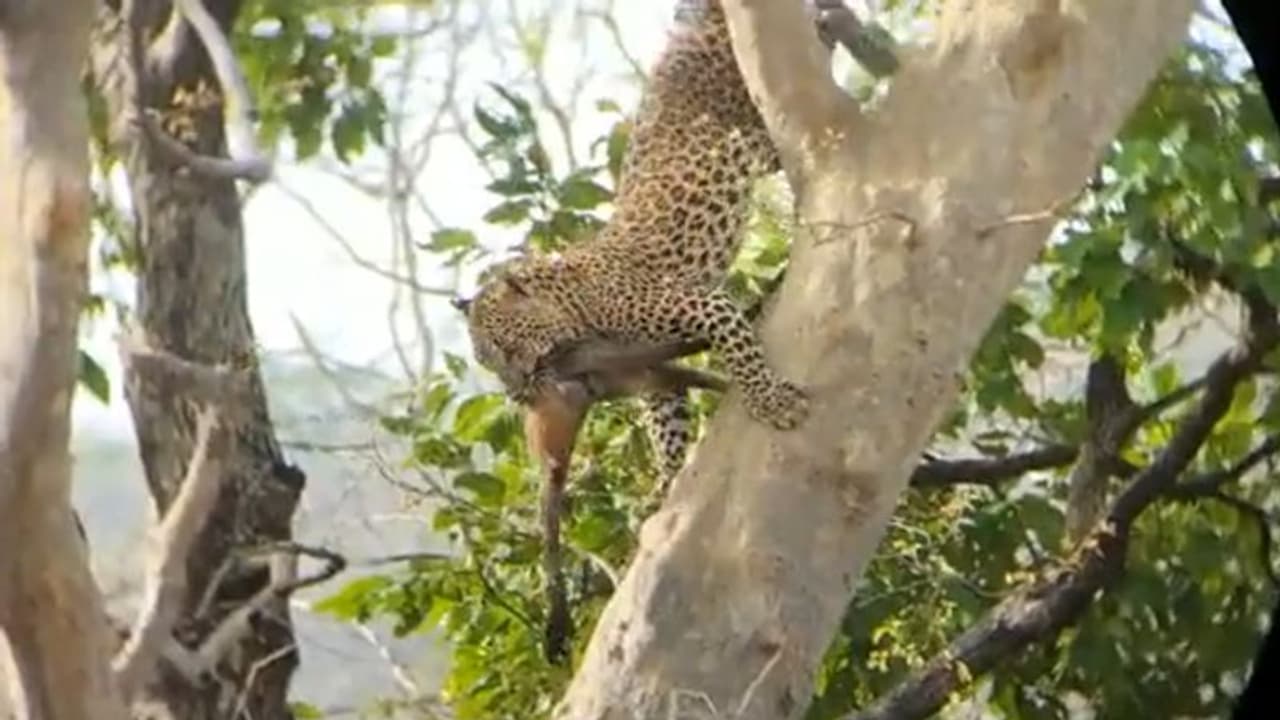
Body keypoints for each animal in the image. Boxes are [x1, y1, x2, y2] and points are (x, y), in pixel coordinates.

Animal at [460, 0, 817, 486]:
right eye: (486, 362)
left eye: (505, 349)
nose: (516, 394)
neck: (575, 314)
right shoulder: (648, 368)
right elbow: (666, 420)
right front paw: (668, 480)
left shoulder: (705, 304)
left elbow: (741, 354)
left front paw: (773, 402)